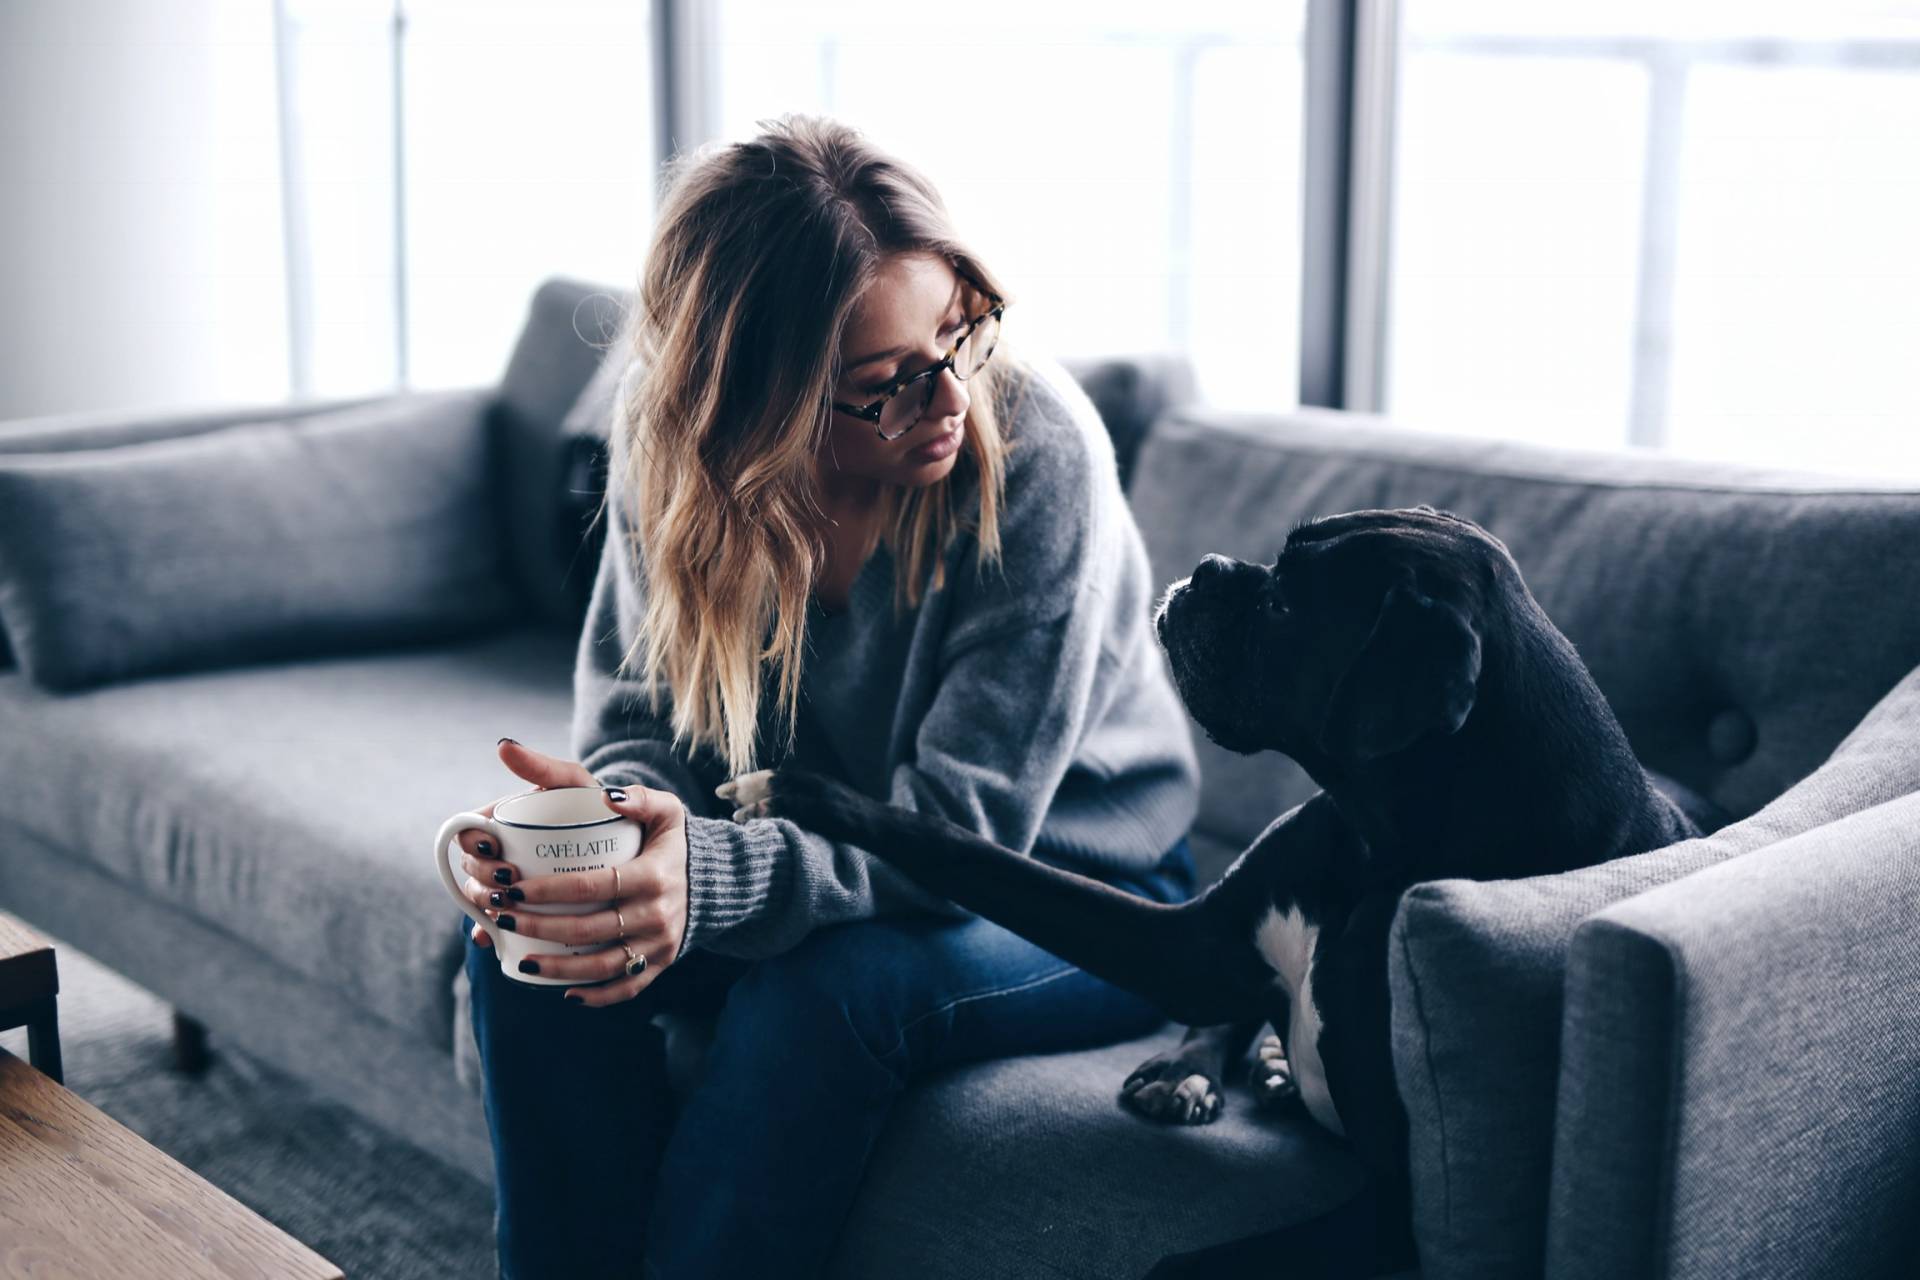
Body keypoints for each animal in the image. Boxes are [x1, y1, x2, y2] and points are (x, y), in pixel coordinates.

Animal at [718, 506, 1697, 1274]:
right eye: (1277, 563)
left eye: (1288, 604)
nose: (1218, 568)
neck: (1375, 845)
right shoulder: (1189, 944)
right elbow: (974, 851)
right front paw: (796, 794)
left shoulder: (1393, 1212)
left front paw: (796, 794)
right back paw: (1196, 1071)